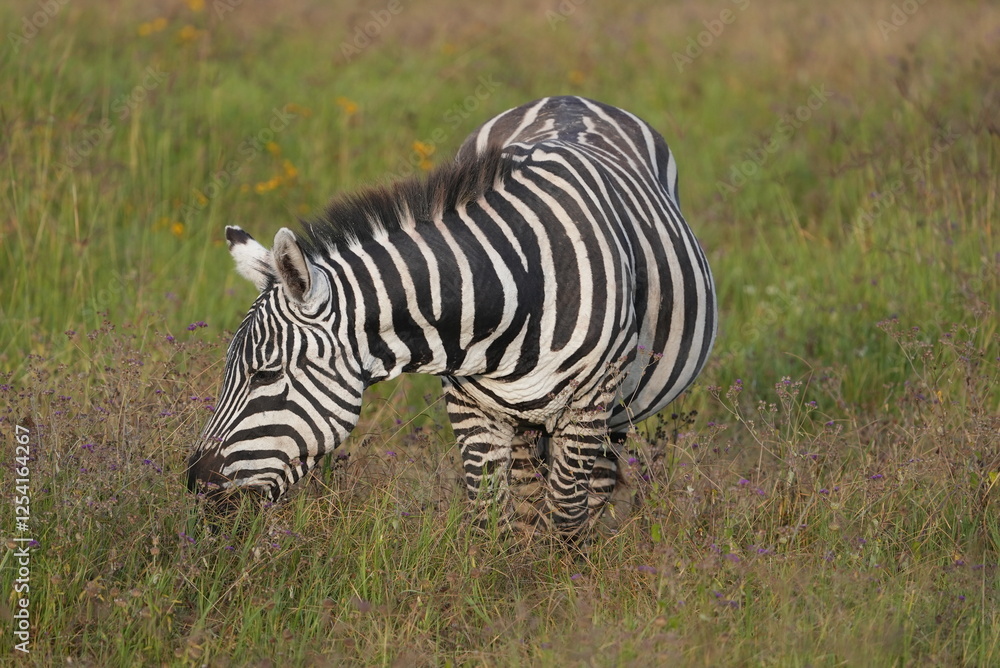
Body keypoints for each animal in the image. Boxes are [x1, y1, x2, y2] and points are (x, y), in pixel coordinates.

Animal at [188, 95, 716, 536]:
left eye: (265, 374)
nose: (196, 486)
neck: (514, 290)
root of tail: (571, 98)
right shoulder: (470, 407)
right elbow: (493, 518)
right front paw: (501, 585)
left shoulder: (588, 404)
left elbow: (565, 516)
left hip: (616, 411)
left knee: (593, 486)